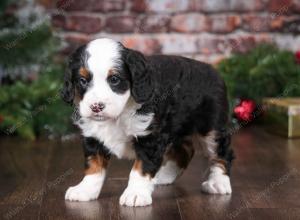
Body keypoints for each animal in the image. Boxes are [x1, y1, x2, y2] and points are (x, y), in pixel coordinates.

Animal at [61, 38, 234, 206]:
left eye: (114, 79)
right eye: (82, 80)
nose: (96, 107)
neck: (118, 116)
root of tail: (213, 69)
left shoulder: (150, 137)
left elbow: (140, 169)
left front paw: (135, 194)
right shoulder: (93, 136)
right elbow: (93, 167)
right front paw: (85, 190)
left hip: (212, 128)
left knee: (222, 153)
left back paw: (218, 182)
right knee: (185, 150)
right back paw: (164, 176)